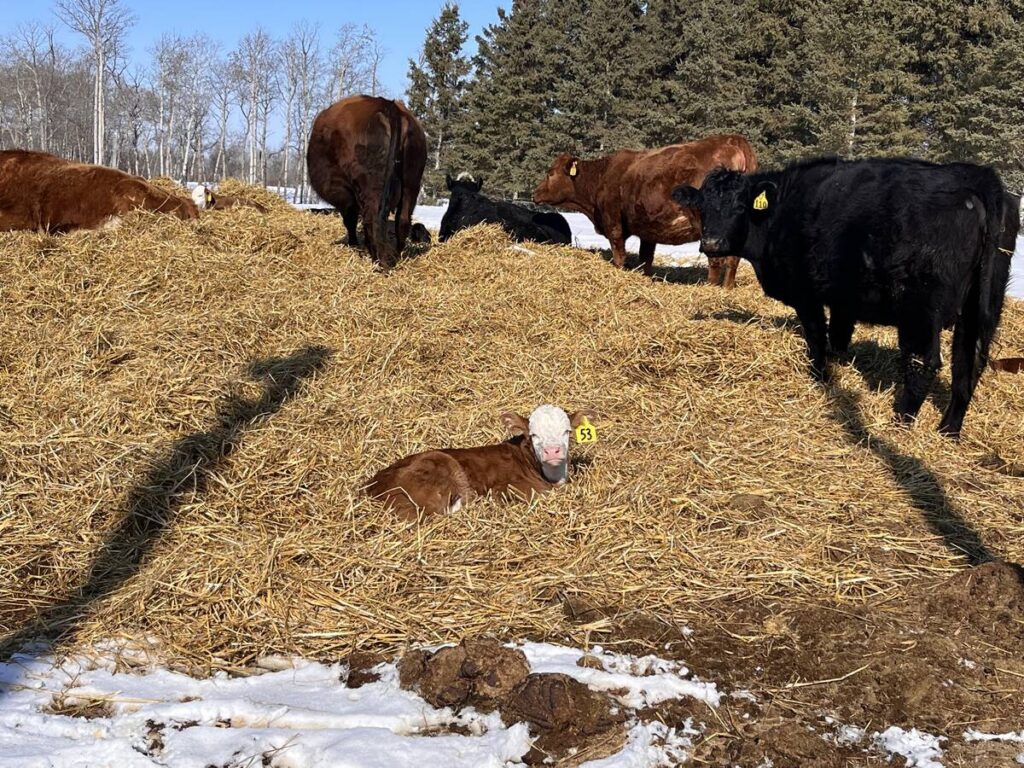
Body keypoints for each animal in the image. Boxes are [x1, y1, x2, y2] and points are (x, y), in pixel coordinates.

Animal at [307, 95, 427, 269]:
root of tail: (387, 105)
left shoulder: (346, 196)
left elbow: (350, 221)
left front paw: (354, 244)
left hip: (371, 188)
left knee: (372, 219)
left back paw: (379, 258)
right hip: (412, 184)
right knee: (402, 221)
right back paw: (395, 256)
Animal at [532, 134, 757, 284]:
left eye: (550, 173)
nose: (535, 193)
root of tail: (732, 140)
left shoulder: (613, 221)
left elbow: (619, 253)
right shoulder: (649, 229)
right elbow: (645, 259)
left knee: (716, 260)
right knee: (733, 259)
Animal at [672, 157, 1015, 438]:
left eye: (741, 206)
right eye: (702, 207)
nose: (712, 243)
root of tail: (972, 174)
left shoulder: (806, 294)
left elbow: (816, 337)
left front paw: (821, 378)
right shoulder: (843, 300)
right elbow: (838, 337)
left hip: (921, 310)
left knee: (924, 362)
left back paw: (901, 422)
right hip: (982, 306)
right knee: (970, 361)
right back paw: (948, 430)